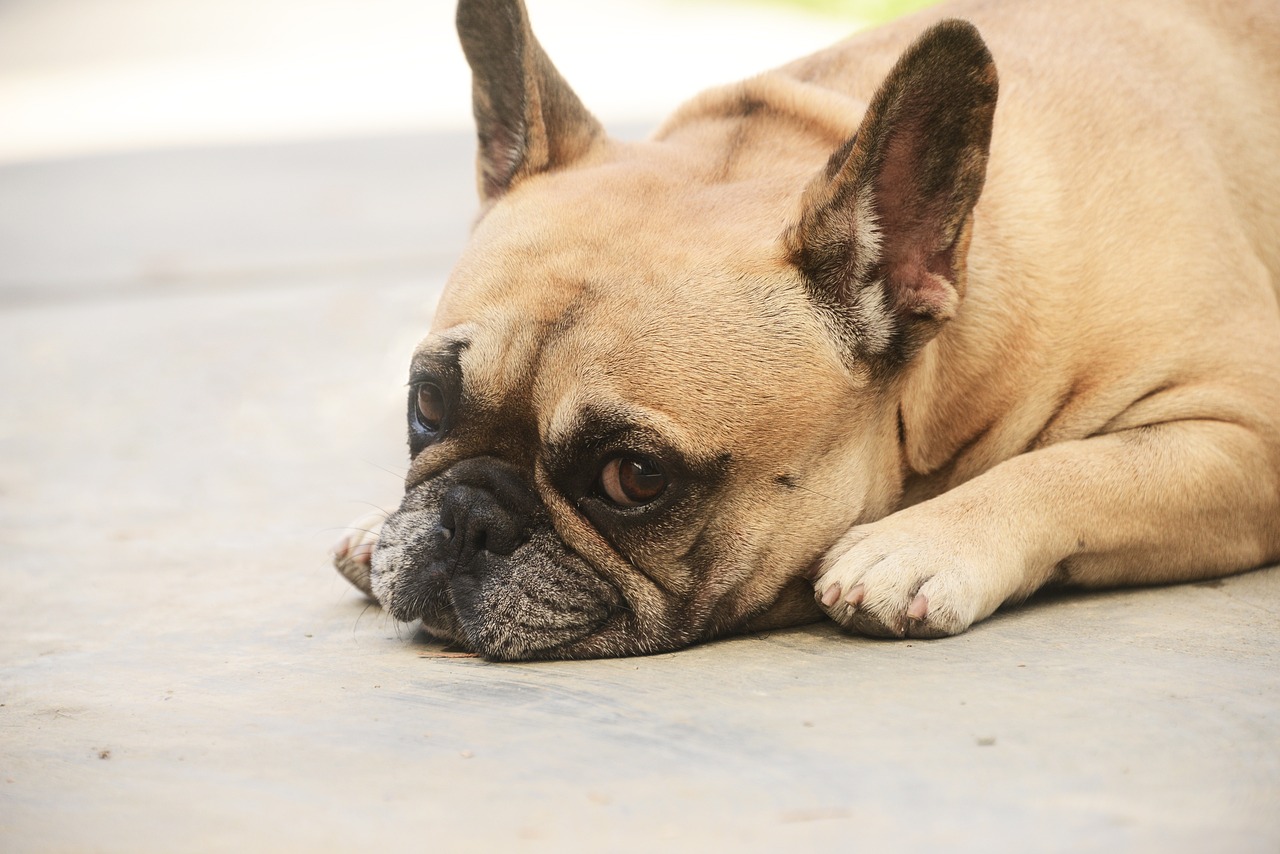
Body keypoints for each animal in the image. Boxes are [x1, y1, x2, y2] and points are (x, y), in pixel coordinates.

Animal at [332, 0, 1280, 660]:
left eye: (634, 478)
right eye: (426, 403)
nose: (467, 518)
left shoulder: (1252, 426)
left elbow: (1083, 466)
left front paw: (919, 543)